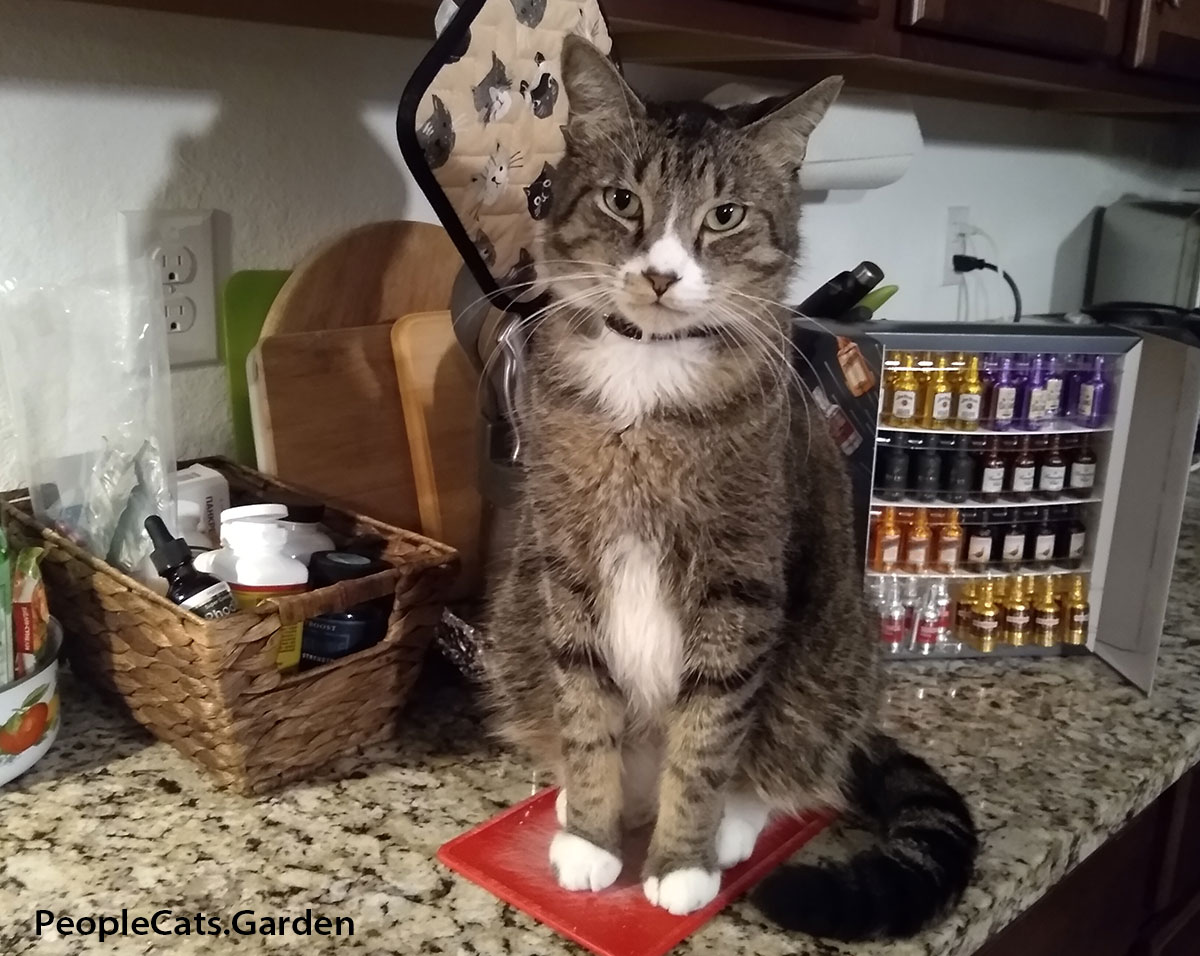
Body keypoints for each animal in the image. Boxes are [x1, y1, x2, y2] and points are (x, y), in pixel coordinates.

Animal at [480, 37, 974, 940]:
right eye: (622, 200)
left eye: (725, 216)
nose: (662, 275)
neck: (646, 371)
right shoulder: (567, 565)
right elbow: (587, 714)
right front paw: (593, 836)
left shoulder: (737, 583)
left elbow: (708, 736)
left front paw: (681, 861)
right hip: (517, 615)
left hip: (831, 652)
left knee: (779, 755)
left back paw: (735, 822)